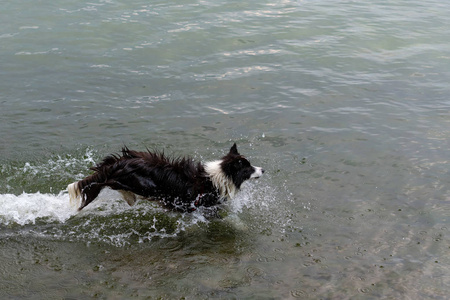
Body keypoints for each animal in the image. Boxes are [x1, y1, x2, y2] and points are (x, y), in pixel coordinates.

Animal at [67, 143, 264, 211]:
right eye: (247, 168)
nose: (263, 170)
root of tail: (117, 162)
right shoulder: (204, 207)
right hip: (143, 184)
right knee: (109, 183)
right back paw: (129, 197)